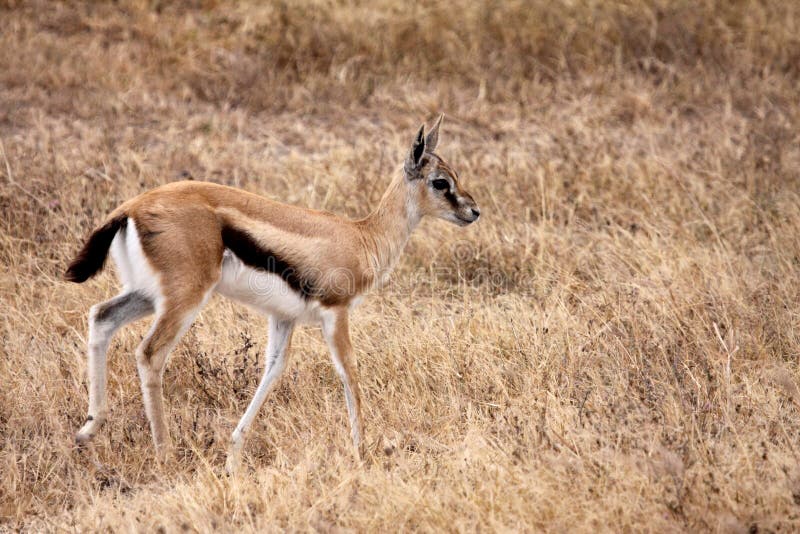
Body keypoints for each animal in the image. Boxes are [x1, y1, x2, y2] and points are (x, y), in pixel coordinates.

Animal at [65, 116, 480, 472]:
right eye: (441, 182)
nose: (474, 211)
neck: (362, 237)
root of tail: (132, 206)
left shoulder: (284, 318)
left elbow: (273, 370)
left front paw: (233, 457)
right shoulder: (336, 313)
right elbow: (349, 372)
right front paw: (364, 451)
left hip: (148, 294)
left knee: (101, 317)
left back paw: (89, 429)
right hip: (185, 298)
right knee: (150, 353)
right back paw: (165, 453)